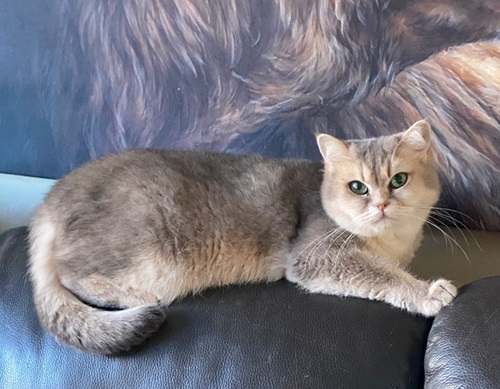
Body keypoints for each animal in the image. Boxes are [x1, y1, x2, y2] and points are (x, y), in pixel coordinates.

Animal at [27, 119, 458, 354]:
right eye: (357, 187)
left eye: (398, 180)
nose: (382, 204)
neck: (392, 240)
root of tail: (52, 199)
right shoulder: (315, 257)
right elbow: (381, 274)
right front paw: (428, 291)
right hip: (148, 249)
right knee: (72, 276)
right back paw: (138, 298)